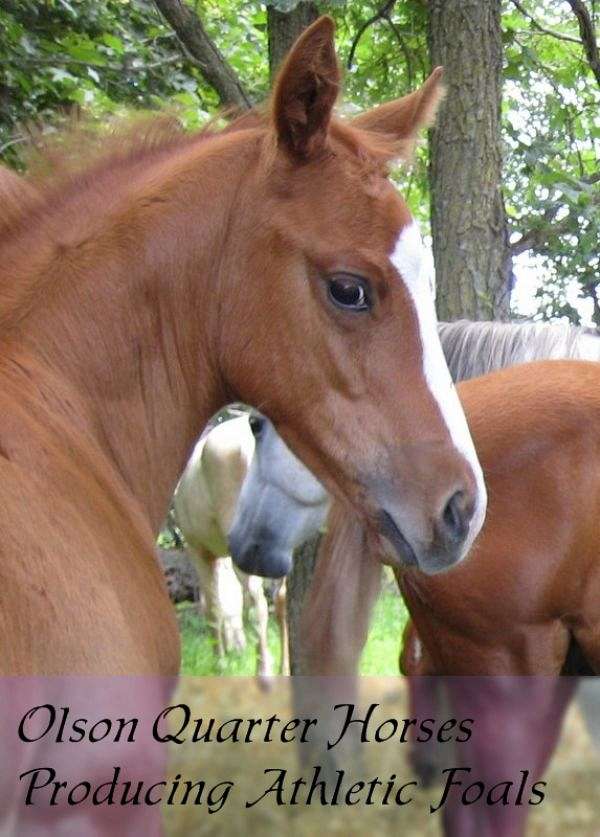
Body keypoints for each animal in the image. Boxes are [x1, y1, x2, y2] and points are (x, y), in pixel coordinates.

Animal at [172, 413, 289, 678]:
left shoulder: (197, 548)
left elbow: (213, 606)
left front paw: (220, 663)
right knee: (280, 599)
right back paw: (284, 668)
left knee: (257, 604)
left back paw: (263, 670)